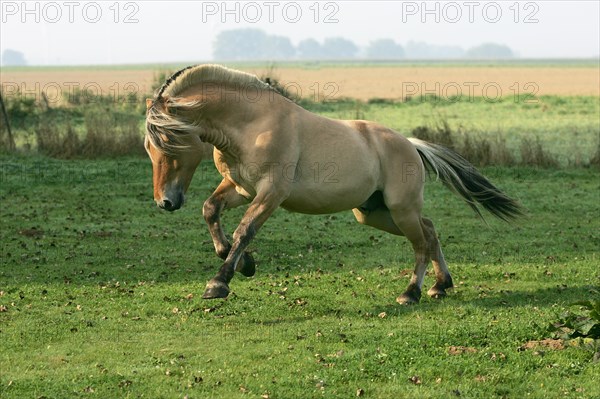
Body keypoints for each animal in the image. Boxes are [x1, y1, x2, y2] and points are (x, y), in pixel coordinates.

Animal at [144, 64, 520, 304]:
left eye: (169, 142)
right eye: (148, 146)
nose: (166, 202)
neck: (252, 124)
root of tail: (410, 144)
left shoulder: (271, 193)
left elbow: (244, 230)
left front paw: (219, 283)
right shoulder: (240, 188)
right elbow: (211, 210)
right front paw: (244, 264)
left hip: (400, 210)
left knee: (421, 243)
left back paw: (410, 293)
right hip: (374, 213)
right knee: (429, 231)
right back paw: (441, 286)